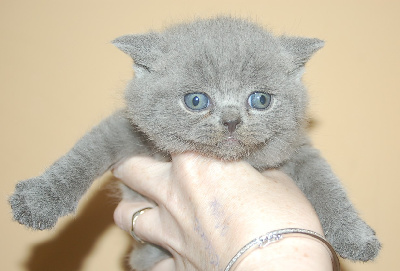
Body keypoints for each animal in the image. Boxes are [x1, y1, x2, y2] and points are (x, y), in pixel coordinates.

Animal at [8, 17, 378, 271]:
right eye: (196, 100)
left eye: (260, 99)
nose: (231, 120)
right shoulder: (126, 129)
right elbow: (85, 154)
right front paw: (39, 201)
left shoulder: (298, 151)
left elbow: (326, 185)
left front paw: (355, 234)